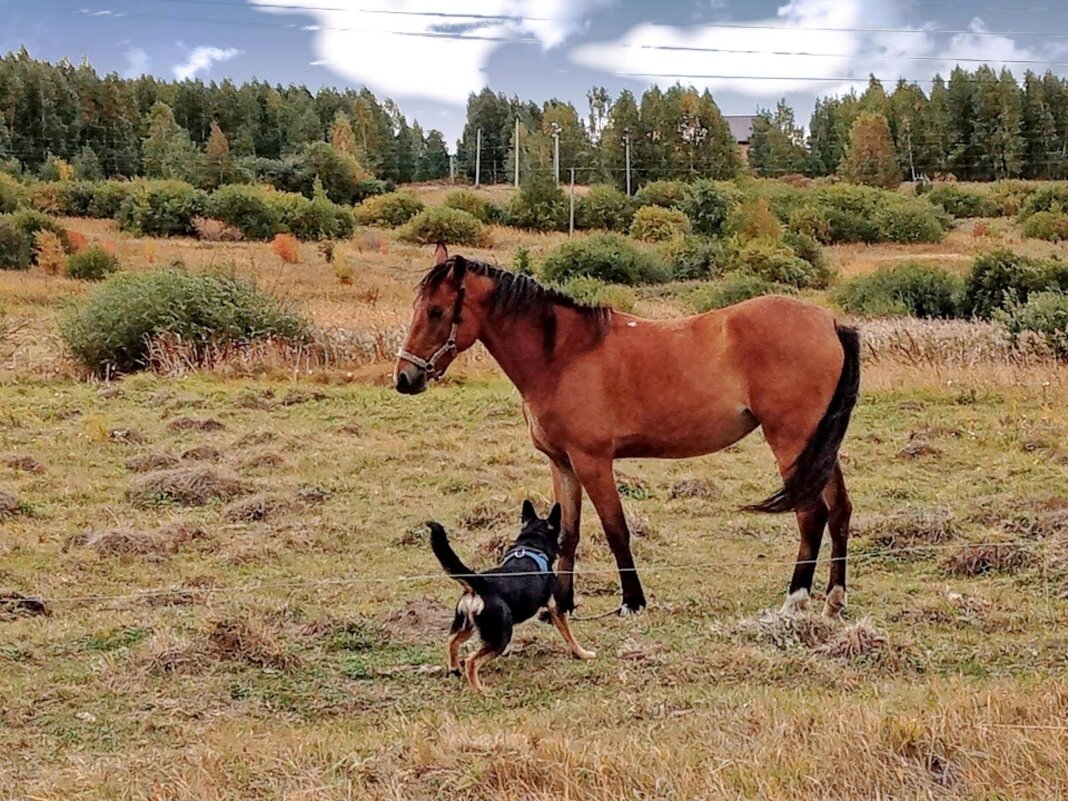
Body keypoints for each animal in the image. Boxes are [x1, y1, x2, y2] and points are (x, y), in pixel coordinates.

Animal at [395, 247, 858, 619]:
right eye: (417, 307)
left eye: (436, 312)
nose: (404, 378)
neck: (564, 356)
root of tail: (832, 323)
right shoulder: (562, 463)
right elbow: (568, 533)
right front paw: (561, 604)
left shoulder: (593, 461)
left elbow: (615, 529)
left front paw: (632, 601)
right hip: (819, 448)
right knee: (839, 510)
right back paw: (834, 599)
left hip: (792, 443)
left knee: (811, 515)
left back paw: (795, 599)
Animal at [429, 501, 598, 692]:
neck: (531, 546)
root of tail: (479, 584)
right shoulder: (556, 608)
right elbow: (570, 636)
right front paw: (583, 654)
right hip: (499, 636)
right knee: (472, 661)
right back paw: (481, 690)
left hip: (467, 626)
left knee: (452, 642)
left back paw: (454, 668)